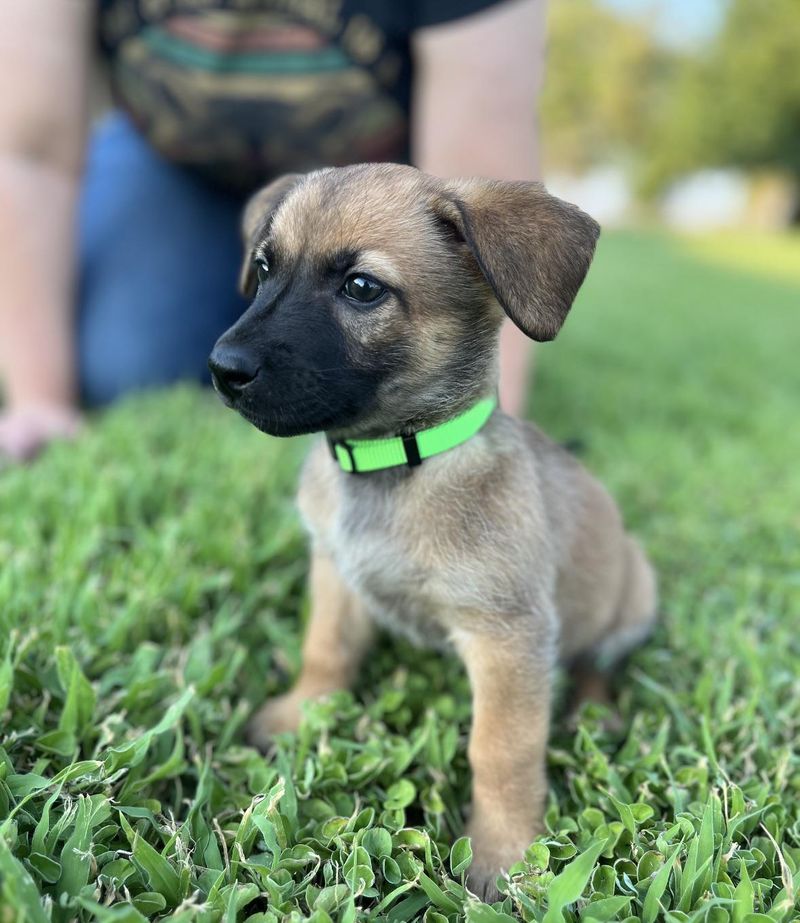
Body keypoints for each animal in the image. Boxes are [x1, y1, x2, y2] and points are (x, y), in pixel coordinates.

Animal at [206, 162, 656, 900]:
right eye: (265, 267)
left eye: (362, 288)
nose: (224, 368)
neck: (395, 465)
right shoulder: (336, 574)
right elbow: (325, 651)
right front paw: (300, 713)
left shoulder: (508, 636)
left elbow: (500, 751)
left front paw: (505, 852)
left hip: (634, 592)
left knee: (598, 659)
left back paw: (595, 710)